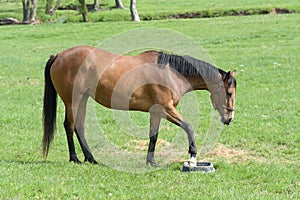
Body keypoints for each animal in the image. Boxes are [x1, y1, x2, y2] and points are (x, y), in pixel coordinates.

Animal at [42, 46, 237, 166]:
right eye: (229, 93)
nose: (229, 118)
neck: (170, 73)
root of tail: (58, 55)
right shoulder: (167, 109)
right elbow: (189, 127)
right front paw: (192, 157)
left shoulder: (156, 112)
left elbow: (153, 136)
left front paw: (151, 161)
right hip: (72, 101)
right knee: (70, 126)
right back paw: (74, 158)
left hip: (82, 99)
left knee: (79, 127)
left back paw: (90, 158)